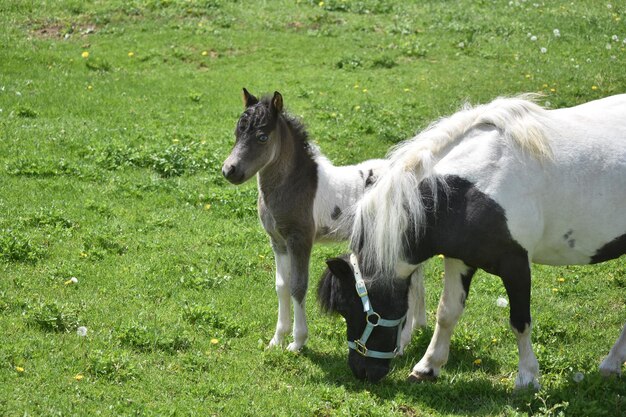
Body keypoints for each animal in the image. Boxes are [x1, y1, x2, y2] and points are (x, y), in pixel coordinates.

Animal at [219, 88, 424, 352]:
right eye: (237, 132)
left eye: (262, 137)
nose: (229, 170)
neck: (294, 185)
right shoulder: (278, 242)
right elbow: (281, 286)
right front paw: (277, 339)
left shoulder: (300, 240)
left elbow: (298, 286)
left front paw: (297, 341)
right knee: (418, 283)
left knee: (412, 286)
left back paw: (403, 343)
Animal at [316, 94, 624, 386]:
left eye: (348, 307)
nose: (362, 372)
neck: (469, 191)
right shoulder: (459, 259)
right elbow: (447, 313)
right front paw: (427, 368)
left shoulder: (516, 265)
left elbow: (520, 322)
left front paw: (527, 377)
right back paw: (610, 366)